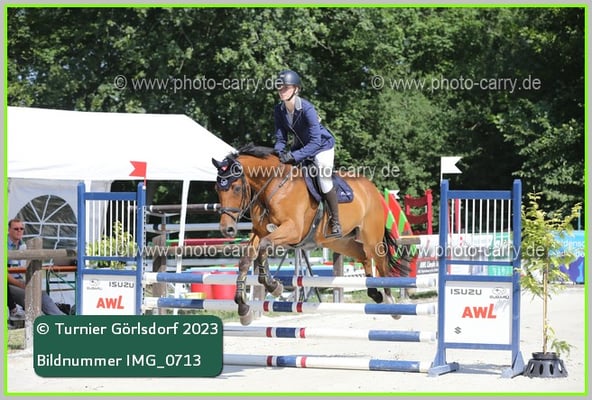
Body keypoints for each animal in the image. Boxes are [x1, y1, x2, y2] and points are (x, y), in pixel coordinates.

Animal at [212, 143, 411, 325]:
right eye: (217, 189)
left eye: (236, 188)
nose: (227, 229)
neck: (273, 187)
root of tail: (372, 189)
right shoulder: (260, 231)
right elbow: (246, 260)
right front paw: (243, 308)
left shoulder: (293, 230)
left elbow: (264, 245)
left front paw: (273, 286)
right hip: (340, 242)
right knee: (363, 256)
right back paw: (374, 293)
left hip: (371, 238)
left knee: (381, 261)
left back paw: (391, 304)